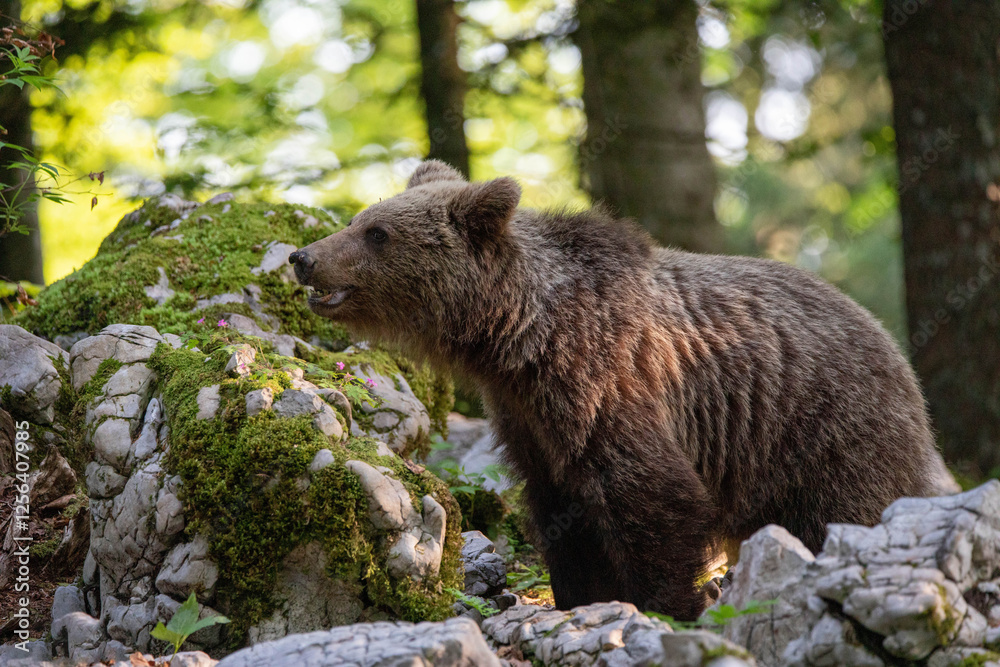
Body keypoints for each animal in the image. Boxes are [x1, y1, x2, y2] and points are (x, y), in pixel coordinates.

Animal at [289, 160, 958, 620]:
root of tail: (893, 348)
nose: (303, 257)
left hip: (824, 430)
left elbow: (651, 495)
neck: (520, 336)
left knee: (846, 512)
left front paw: (668, 604)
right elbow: (561, 510)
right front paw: (579, 596)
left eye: (376, 232)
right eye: (357, 219)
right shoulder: (528, 417)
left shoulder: (609, 383)